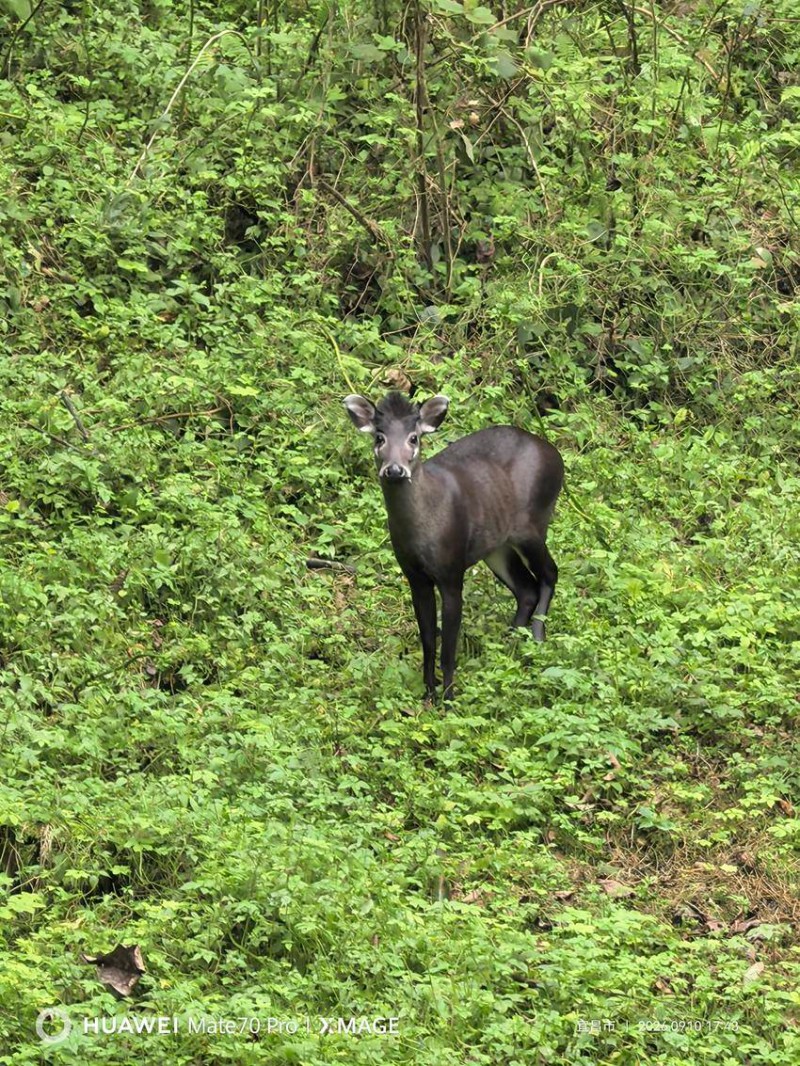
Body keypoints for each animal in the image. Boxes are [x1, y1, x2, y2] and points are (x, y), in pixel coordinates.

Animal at [343, 391, 564, 701]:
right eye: (379, 437)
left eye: (414, 438)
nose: (395, 470)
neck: (423, 532)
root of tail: (556, 454)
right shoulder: (414, 575)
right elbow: (428, 639)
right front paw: (428, 694)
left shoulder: (451, 569)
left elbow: (448, 645)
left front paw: (448, 697)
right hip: (497, 546)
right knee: (526, 588)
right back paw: (506, 649)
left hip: (532, 524)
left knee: (549, 573)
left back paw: (537, 637)